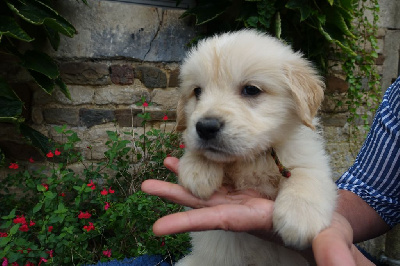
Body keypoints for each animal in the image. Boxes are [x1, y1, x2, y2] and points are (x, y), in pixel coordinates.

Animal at [175, 29, 338, 266]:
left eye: (251, 90)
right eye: (197, 92)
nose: (205, 127)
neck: (253, 158)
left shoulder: (309, 156)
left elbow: (305, 174)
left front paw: (299, 217)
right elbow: (199, 150)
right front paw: (199, 169)